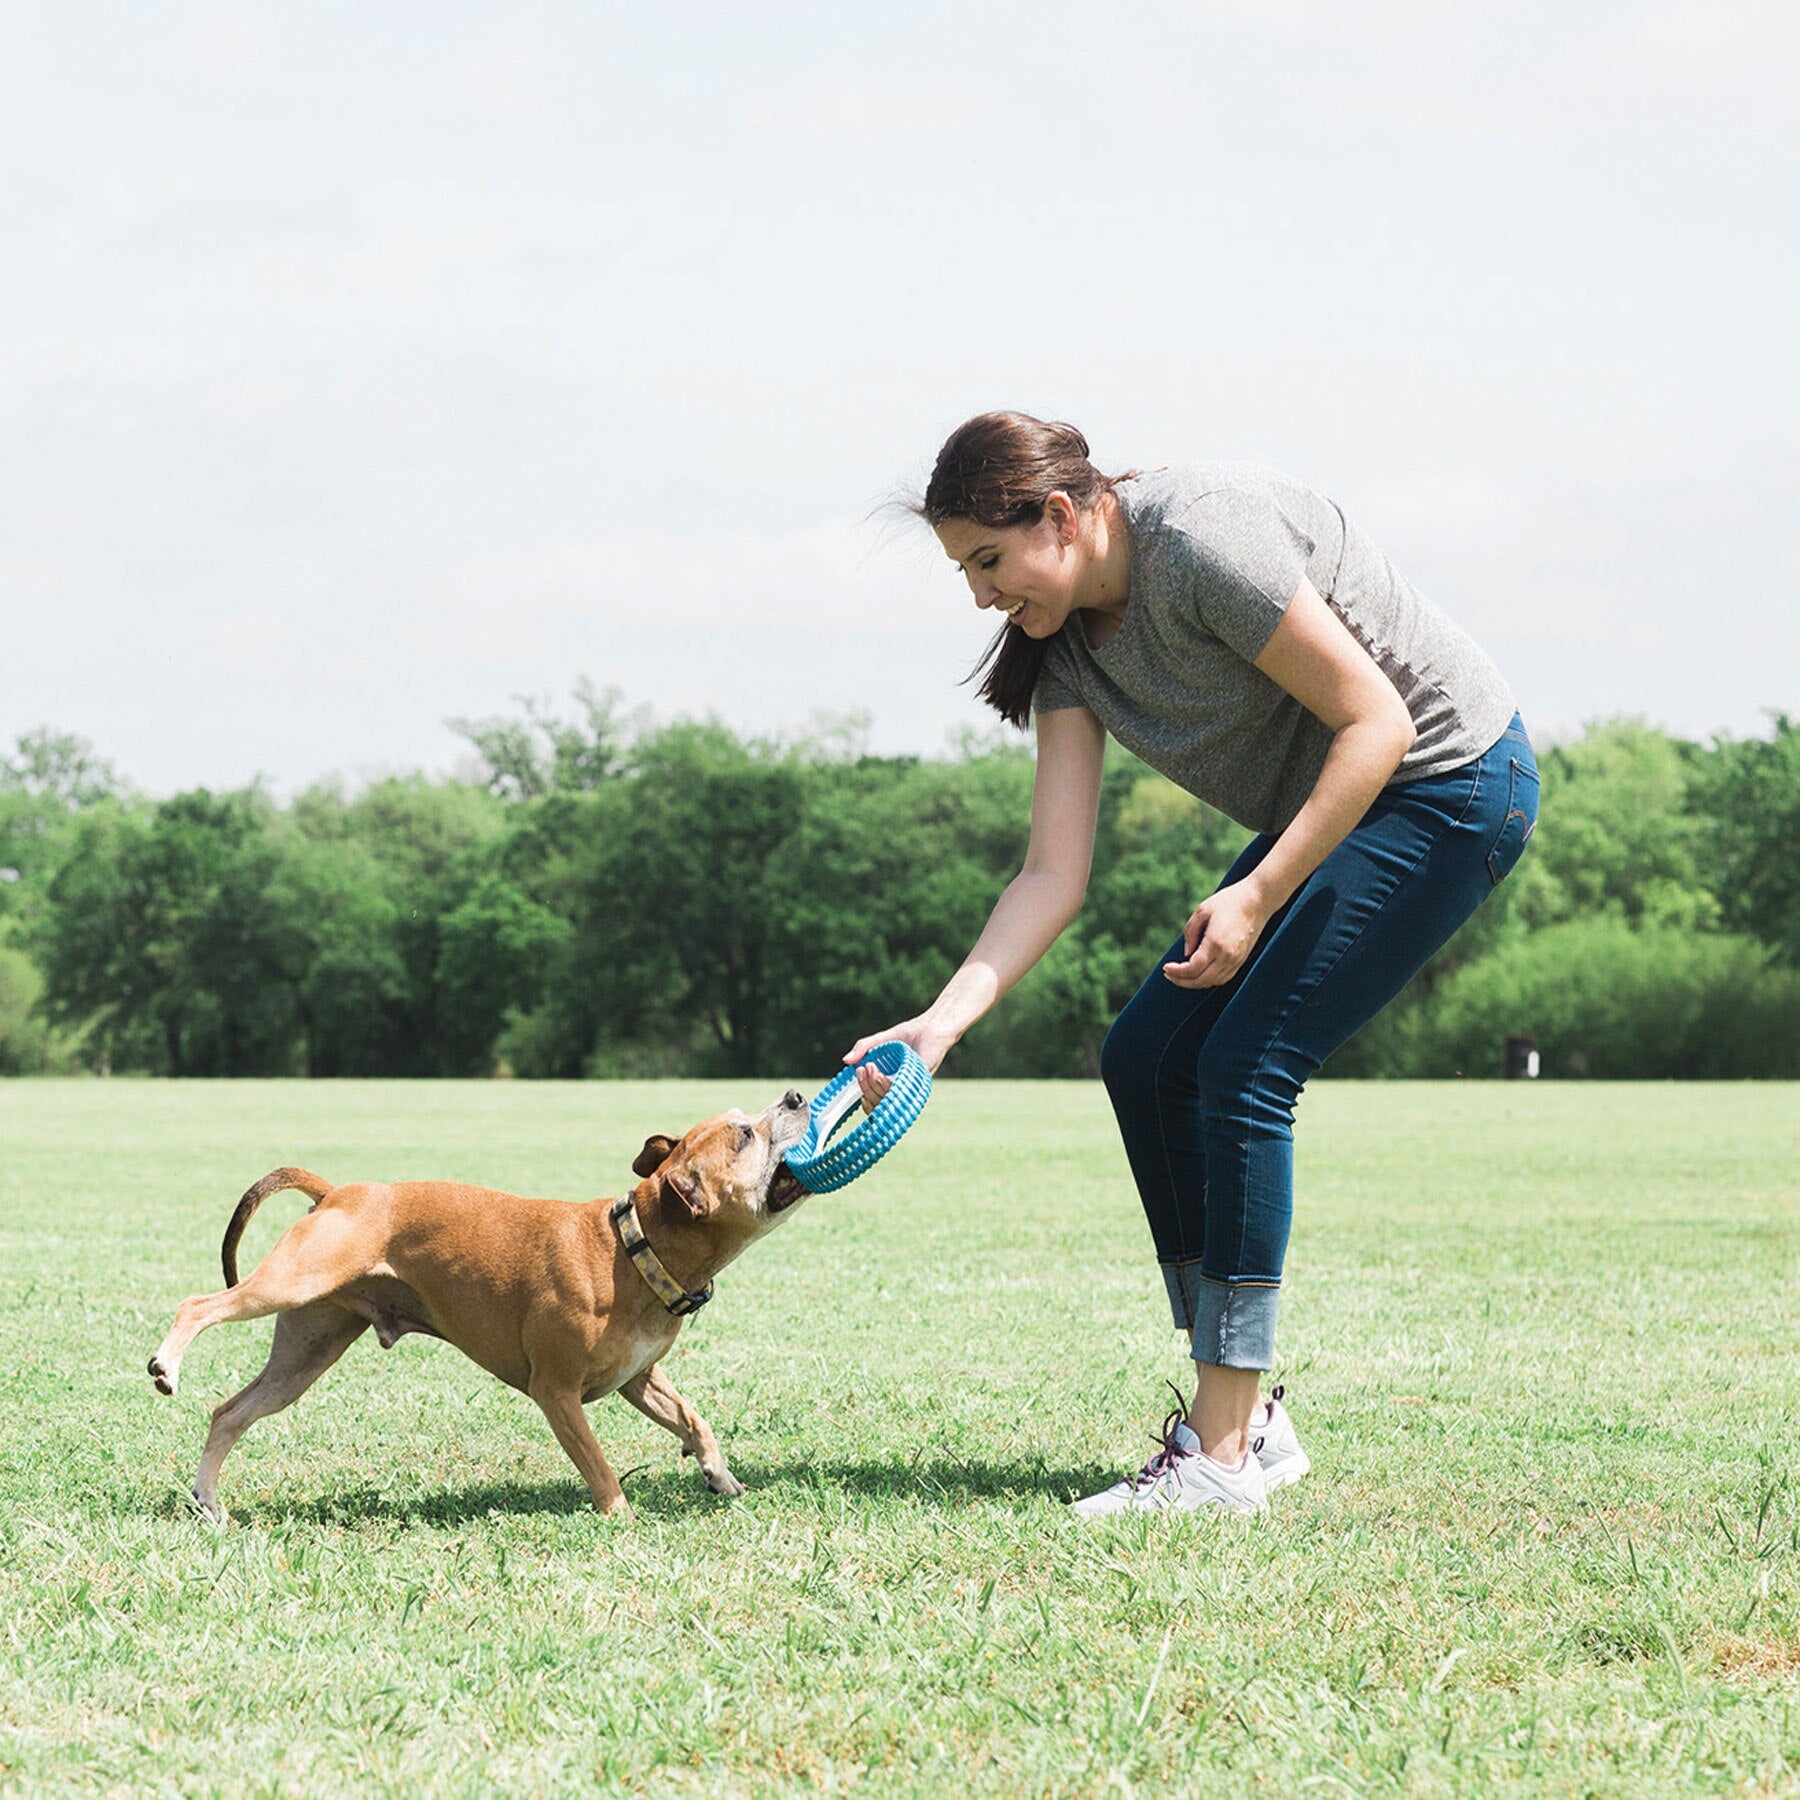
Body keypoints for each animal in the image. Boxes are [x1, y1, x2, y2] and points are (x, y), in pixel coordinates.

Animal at [147, 1080, 810, 1519]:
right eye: (746, 1134)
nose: (796, 1095)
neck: (633, 1247)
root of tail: (336, 1194)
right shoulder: (556, 1392)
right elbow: (598, 1465)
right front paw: (622, 1518)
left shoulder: (638, 1377)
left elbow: (694, 1419)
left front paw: (721, 1476)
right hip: (289, 1283)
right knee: (199, 1306)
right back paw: (167, 1365)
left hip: (304, 1354)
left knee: (230, 1412)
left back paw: (209, 1504)